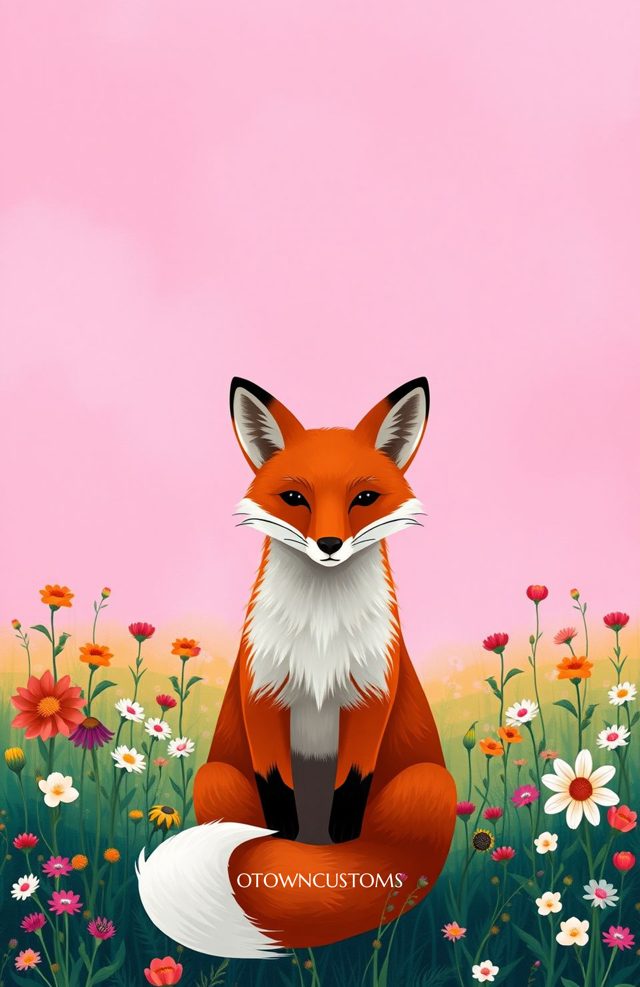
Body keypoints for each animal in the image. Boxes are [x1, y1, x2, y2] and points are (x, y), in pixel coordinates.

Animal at [137, 376, 456, 958]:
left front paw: (339, 846)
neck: (321, 642)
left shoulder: (371, 698)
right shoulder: (263, 697)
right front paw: (285, 844)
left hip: (428, 781)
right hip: (217, 777)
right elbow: (277, 796)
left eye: (364, 498)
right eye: (294, 498)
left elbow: (349, 789)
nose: (329, 545)